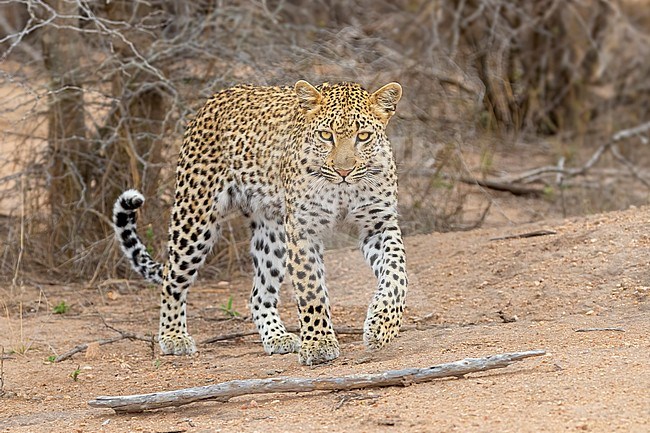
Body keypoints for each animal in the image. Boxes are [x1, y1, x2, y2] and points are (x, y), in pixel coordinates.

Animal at [111, 78, 404, 364]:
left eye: (363, 136)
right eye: (325, 135)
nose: (344, 171)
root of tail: (216, 98)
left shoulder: (378, 224)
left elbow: (397, 274)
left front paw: (382, 325)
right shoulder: (303, 229)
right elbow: (310, 288)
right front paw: (318, 344)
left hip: (272, 233)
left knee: (258, 294)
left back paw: (277, 337)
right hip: (195, 219)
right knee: (171, 279)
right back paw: (173, 336)